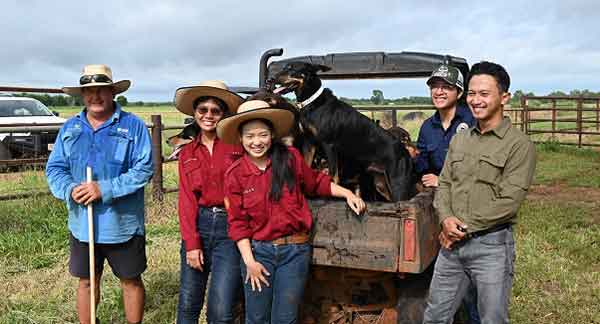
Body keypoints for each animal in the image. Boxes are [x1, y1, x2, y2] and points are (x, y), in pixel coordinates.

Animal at [274, 61, 418, 201]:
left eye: (292, 68)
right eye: (284, 67)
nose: (272, 78)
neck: (312, 102)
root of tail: (406, 152)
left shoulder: (329, 145)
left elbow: (333, 175)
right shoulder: (309, 142)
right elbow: (307, 165)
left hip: (398, 183)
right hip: (381, 183)